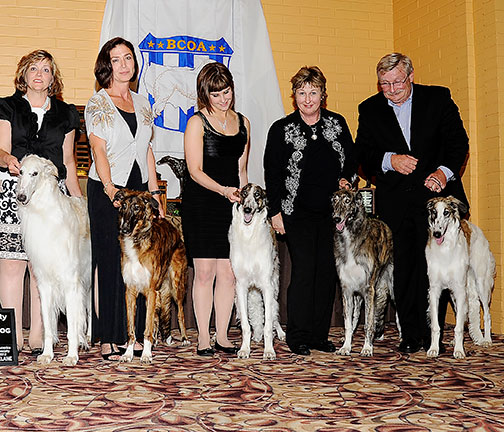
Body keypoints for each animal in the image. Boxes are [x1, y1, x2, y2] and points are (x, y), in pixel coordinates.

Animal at [15, 154, 90, 364]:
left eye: (35, 173)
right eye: (21, 171)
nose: (21, 197)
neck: (44, 213)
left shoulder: (70, 282)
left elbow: (72, 326)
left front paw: (71, 356)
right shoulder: (44, 283)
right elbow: (48, 325)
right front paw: (46, 354)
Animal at [229, 183, 286, 362]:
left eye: (257, 195)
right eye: (244, 194)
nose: (247, 209)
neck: (249, 235)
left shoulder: (266, 286)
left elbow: (268, 323)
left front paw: (269, 351)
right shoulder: (241, 286)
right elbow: (246, 326)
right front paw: (244, 349)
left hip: (274, 287)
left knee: (273, 313)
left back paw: (280, 332)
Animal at [330, 191, 398, 356]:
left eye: (347, 201)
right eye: (334, 201)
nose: (336, 218)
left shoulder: (368, 289)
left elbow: (368, 323)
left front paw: (367, 348)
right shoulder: (347, 290)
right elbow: (348, 322)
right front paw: (346, 347)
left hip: (391, 288)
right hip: (359, 296)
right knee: (355, 317)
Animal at [424, 196, 494, 358]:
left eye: (446, 212)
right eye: (434, 212)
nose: (437, 234)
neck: (445, 250)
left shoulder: (460, 289)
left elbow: (458, 328)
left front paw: (459, 351)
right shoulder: (435, 290)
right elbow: (436, 326)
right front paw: (434, 349)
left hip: (481, 284)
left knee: (487, 314)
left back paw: (487, 340)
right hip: (455, 295)